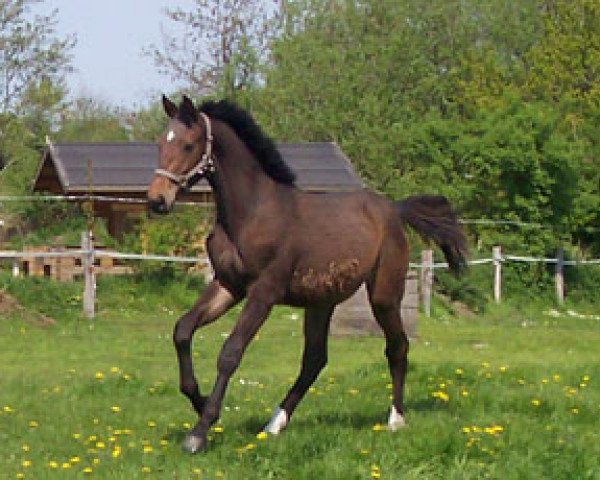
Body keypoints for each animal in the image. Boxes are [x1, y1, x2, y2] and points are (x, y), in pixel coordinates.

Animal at [146, 94, 468, 454]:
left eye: (188, 145)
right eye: (160, 143)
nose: (157, 199)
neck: (252, 212)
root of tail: (394, 210)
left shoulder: (263, 292)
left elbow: (231, 352)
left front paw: (199, 431)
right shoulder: (228, 285)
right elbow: (182, 330)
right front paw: (200, 401)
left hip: (384, 295)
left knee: (396, 347)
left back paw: (396, 420)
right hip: (320, 303)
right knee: (314, 359)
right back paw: (275, 423)